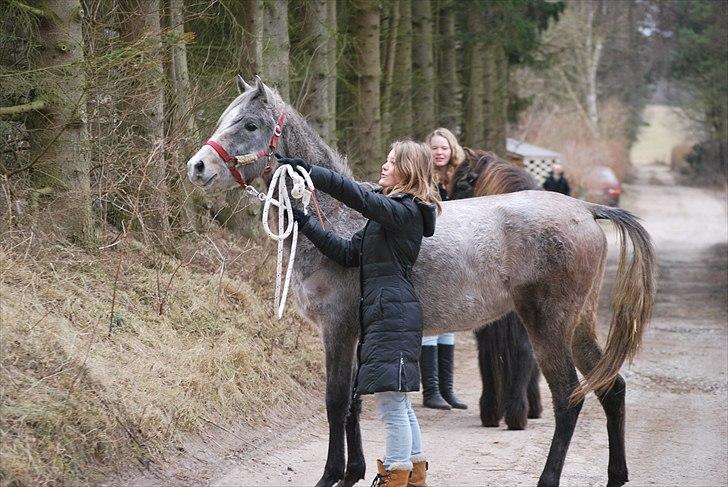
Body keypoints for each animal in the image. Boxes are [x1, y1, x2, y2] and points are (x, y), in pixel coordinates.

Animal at [186, 76, 655, 487]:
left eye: (250, 125)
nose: (198, 166)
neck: (342, 219)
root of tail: (586, 209)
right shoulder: (357, 334)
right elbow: (354, 403)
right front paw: (353, 473)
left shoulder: (338, 329)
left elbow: (336, 401)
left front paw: (329, 476)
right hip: (578, 325)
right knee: (611, 388)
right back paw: (617, 476)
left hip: (548, 326)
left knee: (568, 398)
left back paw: (549, 478)